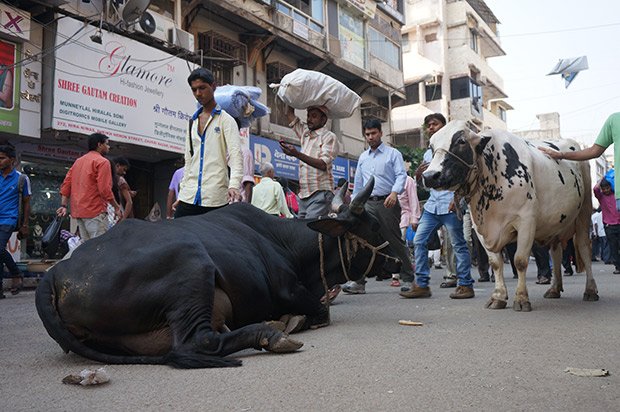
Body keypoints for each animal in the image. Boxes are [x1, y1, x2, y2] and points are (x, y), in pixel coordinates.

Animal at [36, 177, 400, 366]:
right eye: (372, 225)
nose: (401, 259)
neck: (289, 243)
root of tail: (54, 274)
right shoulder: (289, 289)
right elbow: (322, 310)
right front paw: (292, 320)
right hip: (191, 264)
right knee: (196, 343)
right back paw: (270, 333)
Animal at [422, 120, 596, 310]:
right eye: (431, 146)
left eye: (461, 141)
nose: (429, 176)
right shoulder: (481, 229)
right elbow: (496, 263)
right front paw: (498, 296)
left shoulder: (526, 221)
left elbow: (520, 260)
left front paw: (521, 298)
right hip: (555, 224)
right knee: (556, 251)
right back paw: (555, 288)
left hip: (584, 212)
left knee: (584, 248)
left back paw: (590, 290)